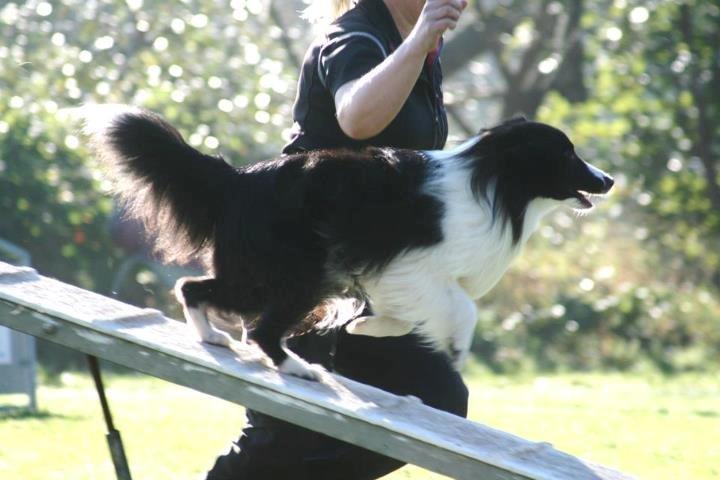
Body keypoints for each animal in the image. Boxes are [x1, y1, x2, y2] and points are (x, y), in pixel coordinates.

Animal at [84, 107, 612, 380]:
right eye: (567, 154)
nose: (607, 179)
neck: (495, 181)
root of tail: (240, 179)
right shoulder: (414, 266)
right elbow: (462, 309)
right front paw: (457, 349)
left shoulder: (395, 275)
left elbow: (400, 317)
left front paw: (366, 328)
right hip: (299, 275)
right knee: (252, 323)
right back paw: (297, 368)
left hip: (269, 273)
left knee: (197, 288)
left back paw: (212, 336)